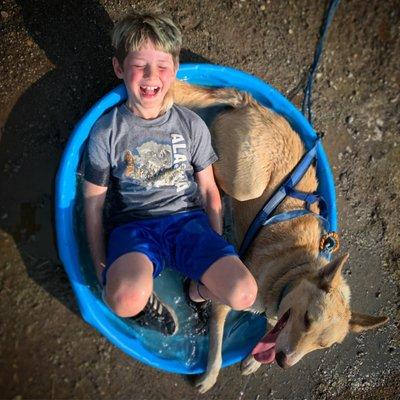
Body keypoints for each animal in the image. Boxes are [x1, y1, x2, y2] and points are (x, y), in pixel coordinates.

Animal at [172, 79, 388, 392]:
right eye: (308, 320)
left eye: (323, 346)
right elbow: (216, 348)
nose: (284, 361)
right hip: (245, 184)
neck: (290, 273)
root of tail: (252, 104)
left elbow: (265, 336)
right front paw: (210, 376)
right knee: (212, 171)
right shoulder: (223, 302)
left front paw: (252, 361)